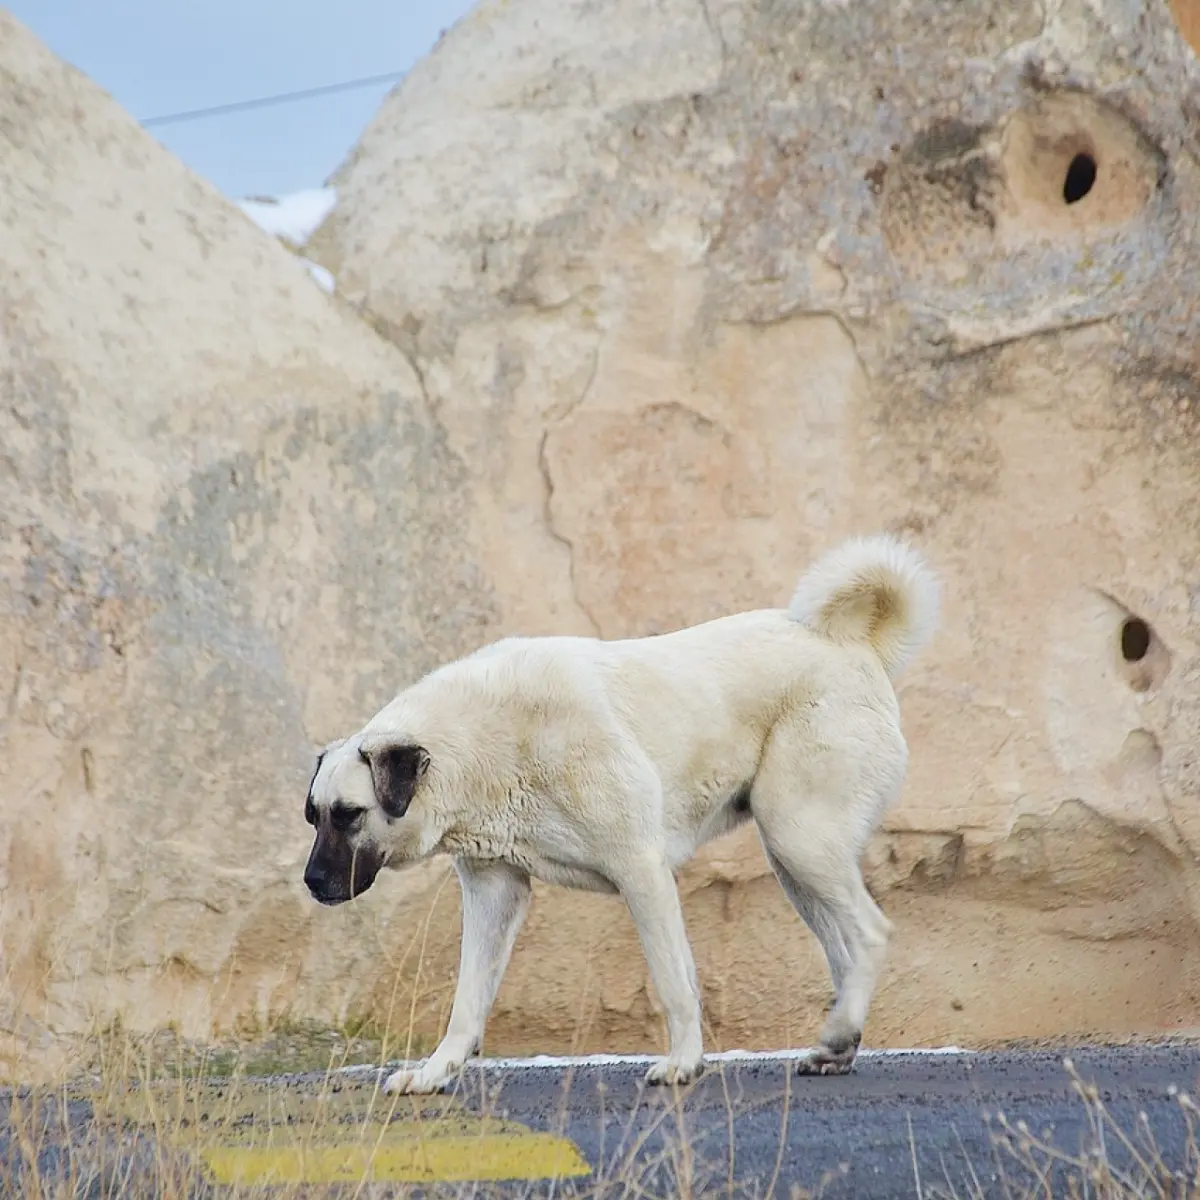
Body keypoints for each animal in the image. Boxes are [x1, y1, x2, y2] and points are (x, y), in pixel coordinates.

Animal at [300, 532, 936, 1089]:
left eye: (349, 814)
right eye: (313, 816)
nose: (312, 883)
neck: (479, 740)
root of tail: (850, 645)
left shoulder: (641, 870)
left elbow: (674, 981)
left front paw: (683, 1063)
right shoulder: (493, 891)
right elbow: (467, 1001)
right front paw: (434, 1074)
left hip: (799, 838)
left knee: (871, 934)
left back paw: (839, 1033)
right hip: (795, 861)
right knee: (844, 949)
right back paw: (837, 1045)